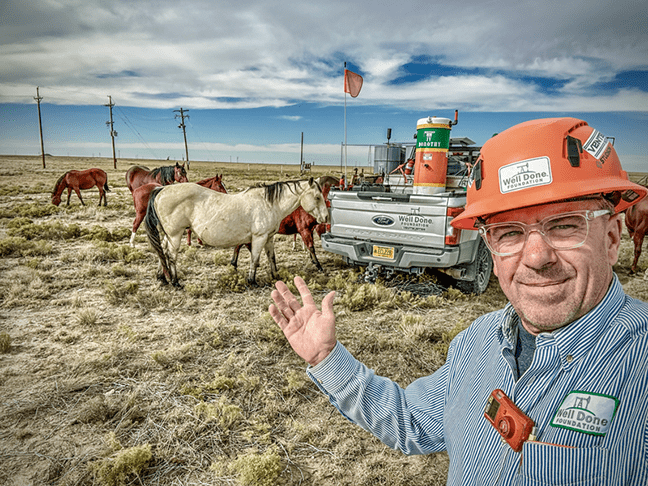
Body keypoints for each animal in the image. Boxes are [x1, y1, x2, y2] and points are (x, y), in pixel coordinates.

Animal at [146, 178, 330, 286]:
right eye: (317, 197)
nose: (326, 217)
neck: (268, 203)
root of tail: (161, 190)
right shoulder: (259, 238)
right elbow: (255, 259)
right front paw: (252, 281)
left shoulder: (269, 238)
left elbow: (271, 257)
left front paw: (275, 276)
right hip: (175, 235)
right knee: (171, 255)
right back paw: (175, 281)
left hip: (168, 236)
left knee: (162, 252)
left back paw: (162, 277)